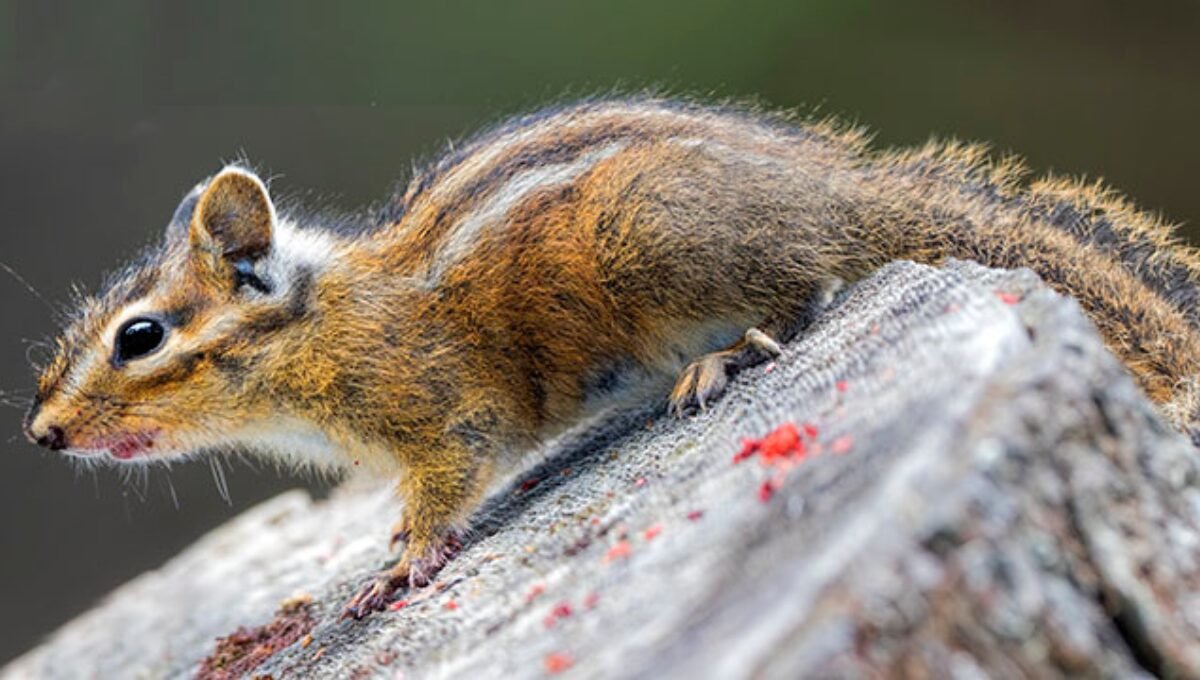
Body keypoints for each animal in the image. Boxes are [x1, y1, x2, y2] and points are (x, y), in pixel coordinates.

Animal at [21, 97, 1200, 618]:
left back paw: (721, 358)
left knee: (804, 290)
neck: (322, 322)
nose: (41, 434)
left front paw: (405, 560)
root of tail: (836, 189)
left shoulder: (442, 409)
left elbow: (448, 480)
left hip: (659, 246)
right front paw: (390, 540)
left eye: (140, 337)